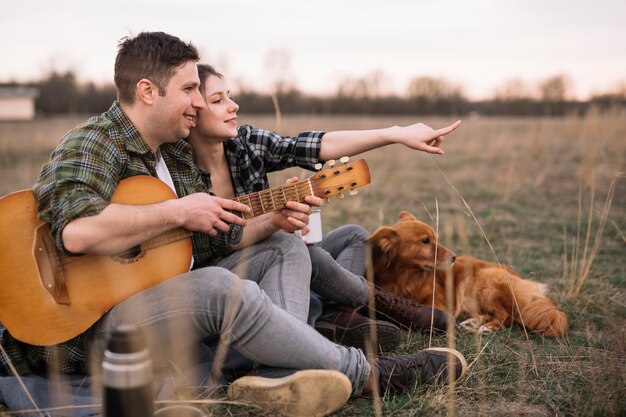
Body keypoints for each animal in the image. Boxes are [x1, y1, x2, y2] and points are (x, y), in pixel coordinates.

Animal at [366, 210, 564, 336]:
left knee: (508, 316)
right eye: (425, 241)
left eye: (434, 239)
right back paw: (473, 323)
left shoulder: (439, 306)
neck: (405, 278)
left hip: (483, 285)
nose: (454, 257)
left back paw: (486, 328)